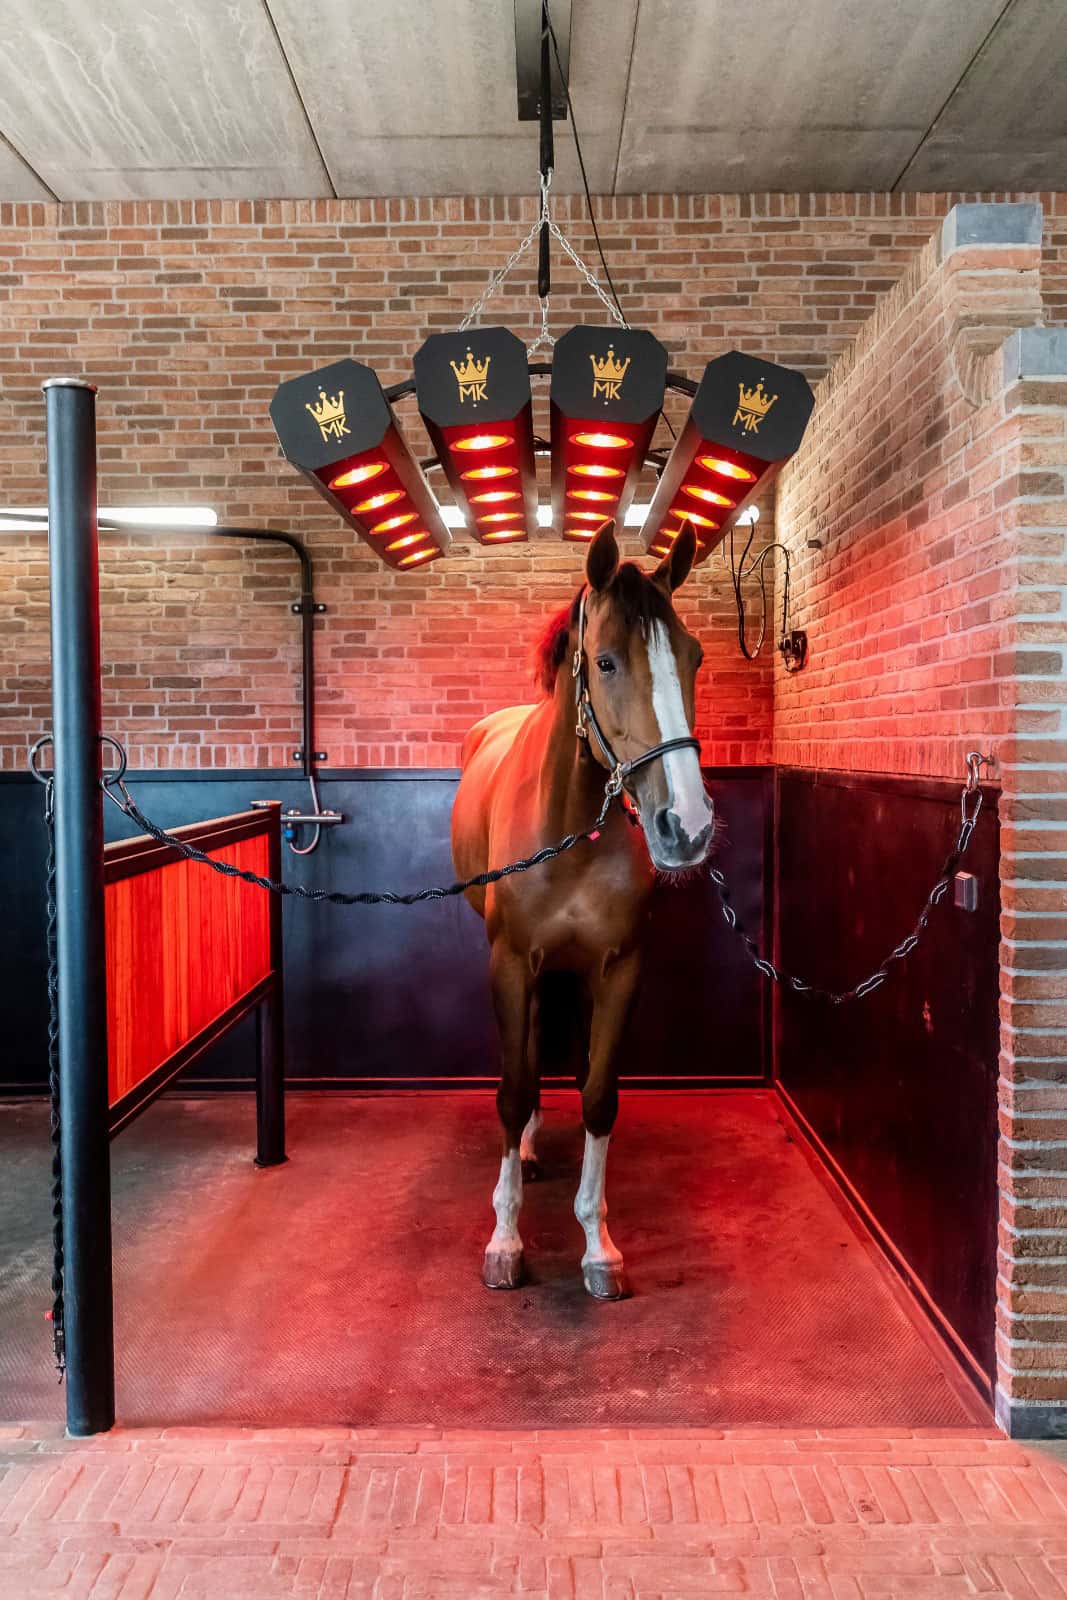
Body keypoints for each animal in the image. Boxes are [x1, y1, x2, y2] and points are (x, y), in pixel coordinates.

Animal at [450, 518, 714, 1299]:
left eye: (693, 656)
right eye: (603, 661)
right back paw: (530, 1152)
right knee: (530, 1050)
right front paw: (505, 1239)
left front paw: (598, 1246)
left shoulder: (619, 968)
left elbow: (599, 1096)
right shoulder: (510, 962)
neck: (567, 823)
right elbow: (512, 1090)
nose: (686, 826)